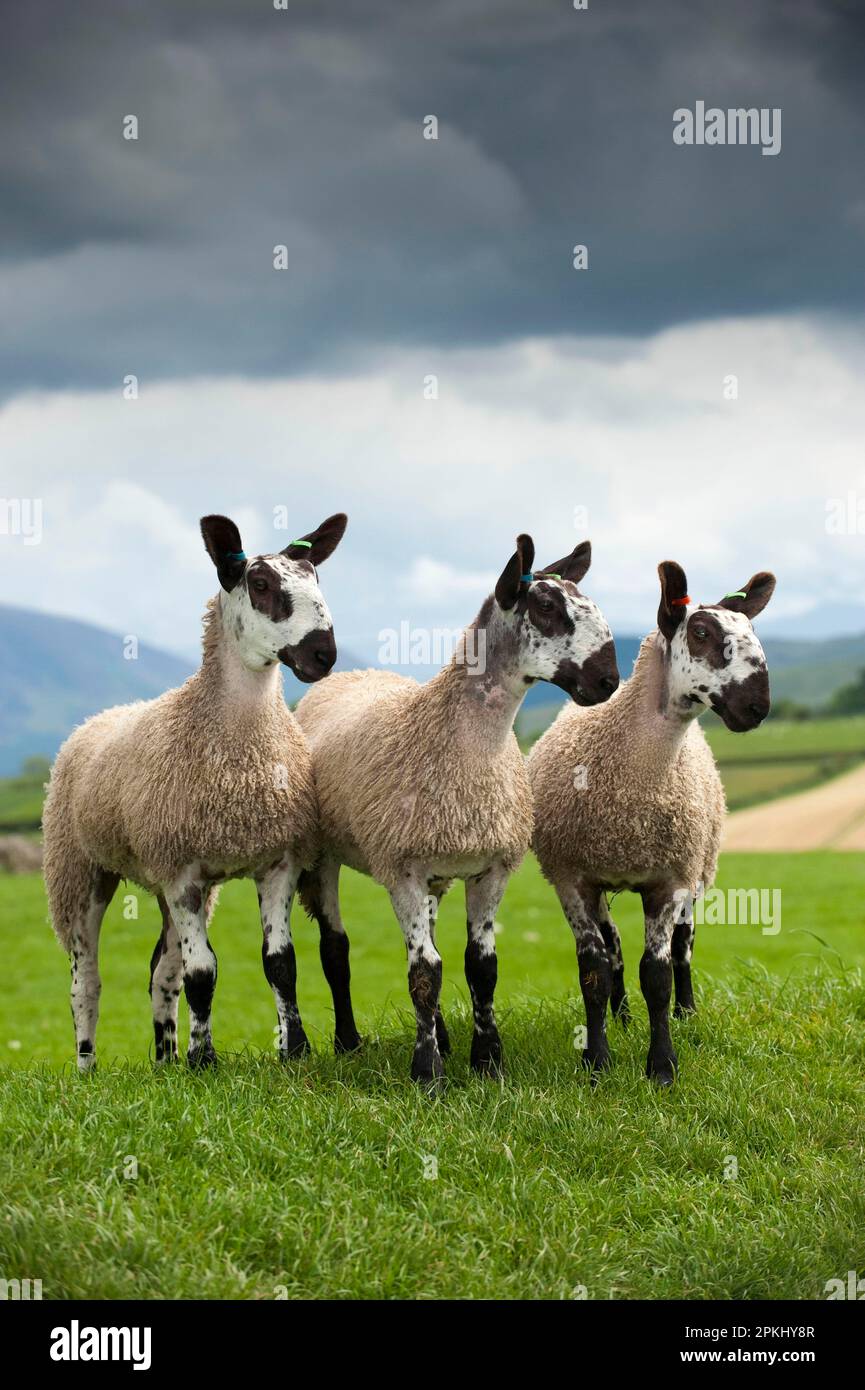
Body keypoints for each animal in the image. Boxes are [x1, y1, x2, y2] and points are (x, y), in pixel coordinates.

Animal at [39, 517, 346, 1067]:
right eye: (260, 584)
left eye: (317, 578)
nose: (323, 653)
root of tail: (99, 717)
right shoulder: (182, 871)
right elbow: (203, 971)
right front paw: (205, 1060)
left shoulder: (277, 861)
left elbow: (279, 963)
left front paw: (294, 1051)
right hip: (80, 869)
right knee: (86, 982)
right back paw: (88, 1068)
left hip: (164, 879)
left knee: (162, 972)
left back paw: (165, 1060)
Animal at [294, 530, 620, 1084]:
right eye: (548, 607)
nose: (608, 680)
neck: (463, 745)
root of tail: (355, 673)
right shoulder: (401, 867)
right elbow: (424, 973)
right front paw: (427, 1073)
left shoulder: (491, 867)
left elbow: (478, 966)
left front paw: (487, 1061)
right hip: (328, 853)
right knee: (337, 948)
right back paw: (349, 1042)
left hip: (436, 870)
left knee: (428, 942)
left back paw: (442, 1036)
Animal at [528, 564, 778, 1084]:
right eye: (700, 633)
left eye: (752, 631)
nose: (758, 706)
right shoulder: (572, 879)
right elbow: (594, 970)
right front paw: (598, 1062)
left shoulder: (669, 879)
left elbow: (657, 974)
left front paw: (662, 1065)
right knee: (614, 947)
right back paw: (622, 1017)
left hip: (696, 869)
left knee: (683, 947)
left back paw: (686, 1013)